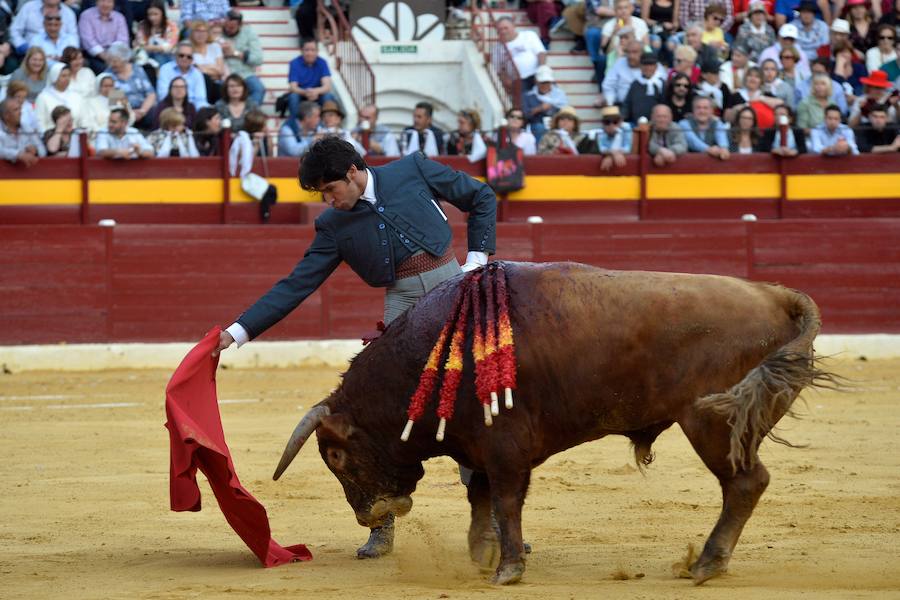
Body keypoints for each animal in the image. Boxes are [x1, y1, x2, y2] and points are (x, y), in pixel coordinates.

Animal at [272, 260, 828, 584]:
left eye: (337, 455)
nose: (370, 516)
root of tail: (779, 297)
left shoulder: (505, 446)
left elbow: (505, 499)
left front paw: (508, 568)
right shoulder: (481, 447)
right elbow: (481, 498)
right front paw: (483, 553)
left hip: (713, 424)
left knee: (745, 483)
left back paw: (707, 563)